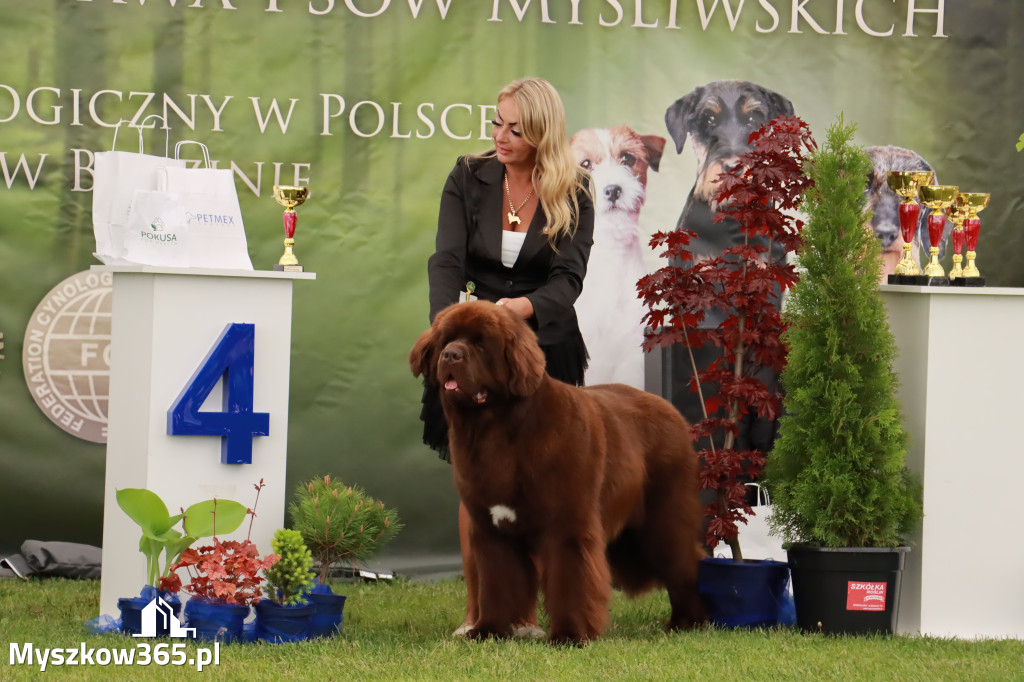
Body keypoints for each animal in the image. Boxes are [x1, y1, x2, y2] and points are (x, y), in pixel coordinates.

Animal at [407, 301, 704, 638]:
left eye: (481, 343)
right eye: (447, 339)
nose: (451, 355)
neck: (494, 429)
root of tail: (670, 409)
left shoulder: (567, 525)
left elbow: (570, 580)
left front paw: (570, 635)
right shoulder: (490, 529)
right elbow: (495, 582)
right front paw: (488, 630)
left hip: (663, 520)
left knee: (684, 562)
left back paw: (688, 622)